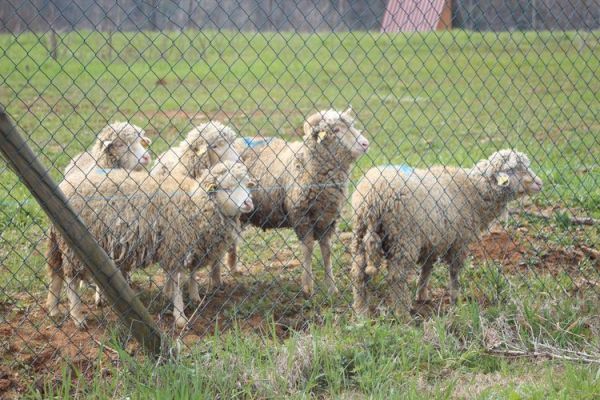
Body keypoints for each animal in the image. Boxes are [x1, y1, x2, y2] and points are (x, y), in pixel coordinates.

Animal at [47, 160, 253, 328]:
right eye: (226, 188)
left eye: (246, 184)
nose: (249, 203)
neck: (195, 202)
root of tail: (64, 184)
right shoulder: (175, 243)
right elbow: (177, 280)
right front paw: (180, 316)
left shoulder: (193, 244)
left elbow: (191, 273)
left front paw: (194, 297)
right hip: (74, 244)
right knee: (71, 281)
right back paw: (77, 316)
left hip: (64, 242)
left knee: (57, 273)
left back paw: (54, 309)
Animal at [230, 108, 368, 296]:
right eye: (336, 130)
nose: (365, 143)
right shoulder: (300, 215)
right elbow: (308, 248)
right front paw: (308, 287)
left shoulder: (327, 218)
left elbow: (327, 250)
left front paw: (332, 287)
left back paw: (233, 268)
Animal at [352, 148, 544, 318]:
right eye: (511, 169)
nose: (539, 183)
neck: (474, 191)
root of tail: (374, 196)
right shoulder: (460, 241)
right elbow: (454, 273)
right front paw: (455, 301)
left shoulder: (433, 240)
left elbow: (427, 268)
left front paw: (421, 295)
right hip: (404, 237)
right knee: (396, 277)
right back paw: (402, 314)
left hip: (360, 232)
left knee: (358, 273)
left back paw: (361, 311)